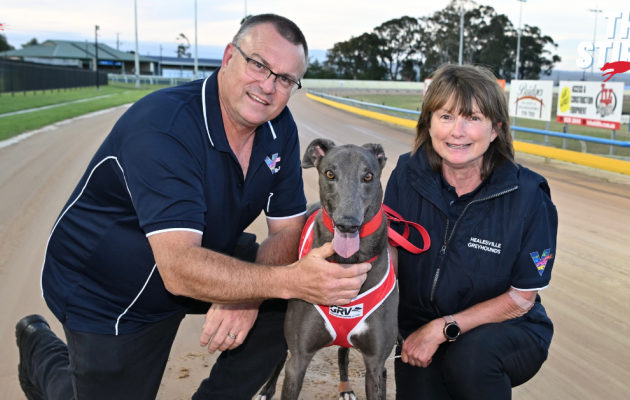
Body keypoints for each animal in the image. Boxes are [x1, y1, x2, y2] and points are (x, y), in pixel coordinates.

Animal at [257, 139, 398, 400]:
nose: (347, 224)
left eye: (368, 176)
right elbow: (291, 363)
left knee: (343, 353)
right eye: (330, 173)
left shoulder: (376, 365)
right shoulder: (299, 358)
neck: (348, 261)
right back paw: (266, 390)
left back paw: (345, 387)